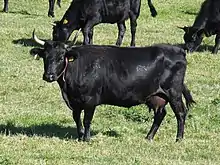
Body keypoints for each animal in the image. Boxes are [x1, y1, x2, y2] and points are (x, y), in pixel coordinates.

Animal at [32, 32, 194, 142]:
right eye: (45, 57)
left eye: (61, 57)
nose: (49, 76)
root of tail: (179, 50)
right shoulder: (75, 102)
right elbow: (77, 119)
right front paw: (80, 136)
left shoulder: (90, 101)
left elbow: (87, 120)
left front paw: (87, 138)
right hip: (156, 96)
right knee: (160, 114)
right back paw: (149, 137)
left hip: (173, 92)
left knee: (180, 113)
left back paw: (178, 139)